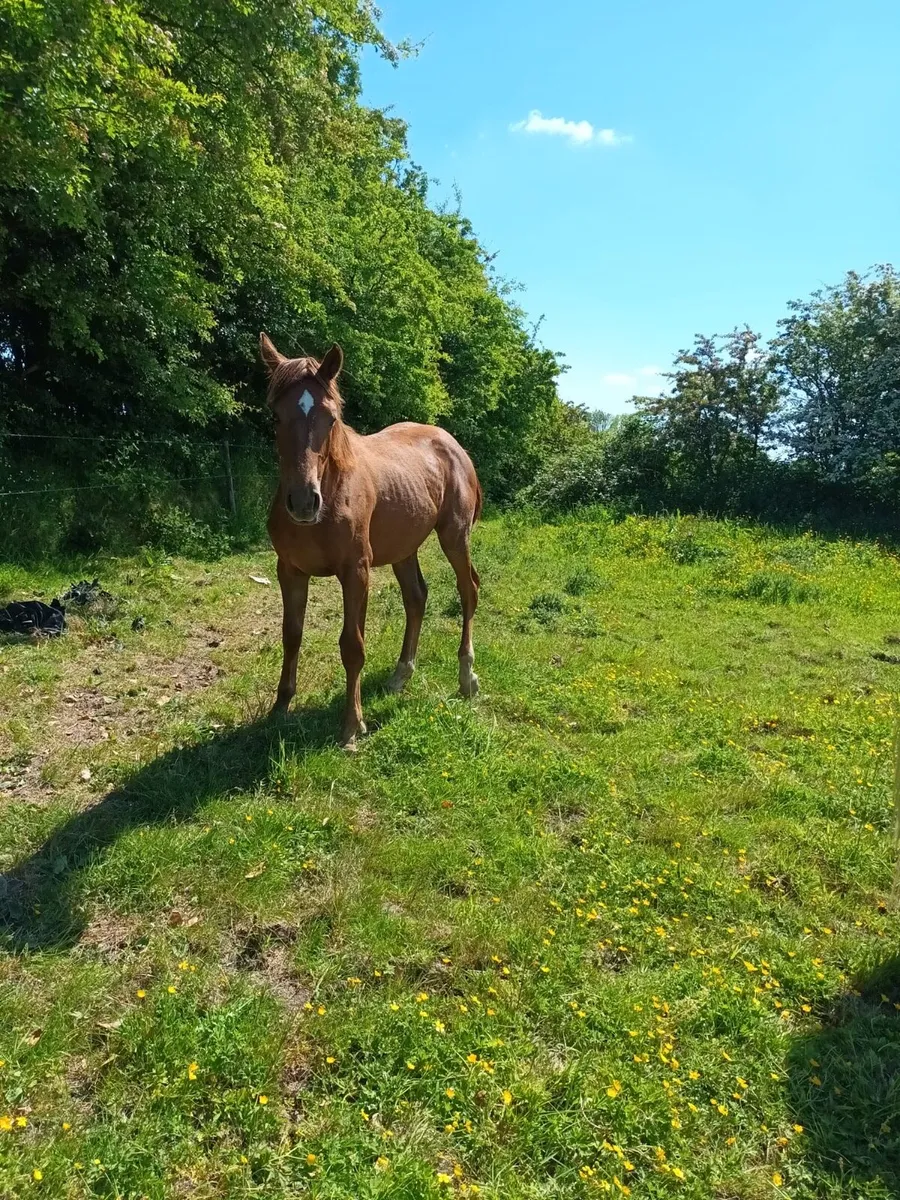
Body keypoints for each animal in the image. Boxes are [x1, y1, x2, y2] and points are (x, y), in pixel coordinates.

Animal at [261, 333, 482, 748]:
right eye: (275, 416)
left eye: (331, 418)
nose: (304, 501)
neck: (332, 492)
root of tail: (452, 445)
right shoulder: (290, 571)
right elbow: (291, 635)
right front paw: (279, 709)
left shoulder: (356, 572)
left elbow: (352, 646)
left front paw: (351, 726)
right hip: (403, 548)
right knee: (416, 598)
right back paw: (401, 674)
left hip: (455, 538)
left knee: (468, 591)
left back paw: (467, 678)